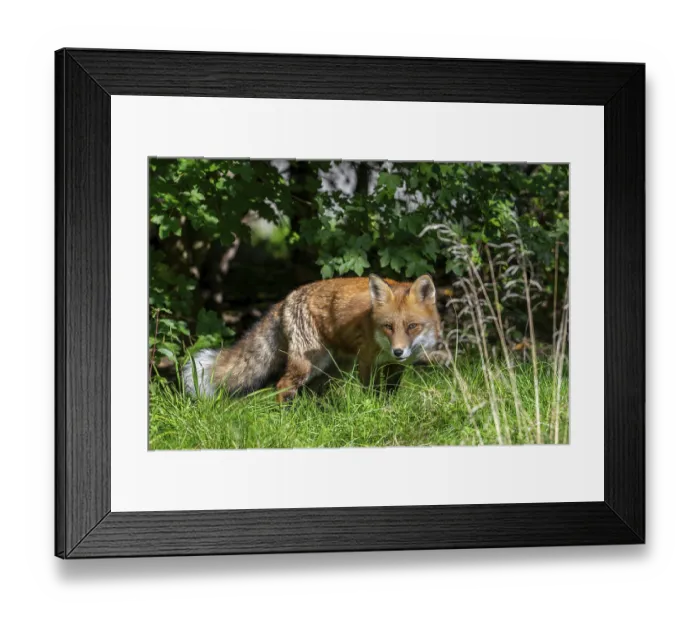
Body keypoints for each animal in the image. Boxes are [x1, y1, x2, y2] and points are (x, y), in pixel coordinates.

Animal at [182, 274, 451, 403]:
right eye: (388, 326)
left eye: (412, 326)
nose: (398, 351)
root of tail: (286, 299)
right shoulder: (366, 361)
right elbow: (371, 392)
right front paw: (374, 409)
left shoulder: (395, 366)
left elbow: (390, 391)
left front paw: (388, 407)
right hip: (309, 364)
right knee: (282, 385)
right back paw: (287, 417)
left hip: (333, 369)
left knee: (311, 392)